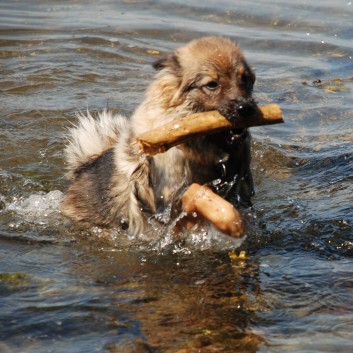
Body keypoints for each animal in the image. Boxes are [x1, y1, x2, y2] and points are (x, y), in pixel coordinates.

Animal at [61, 35, 256, 236]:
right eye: (212, 84)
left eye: (245, 79)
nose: (246, 108)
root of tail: (84, 166)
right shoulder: (173, 195)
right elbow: (201, 197)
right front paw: (230, 221)